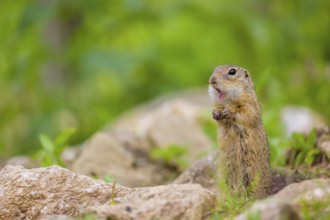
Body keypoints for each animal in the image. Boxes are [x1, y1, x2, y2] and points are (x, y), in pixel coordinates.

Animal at [209, 64, 270, 199]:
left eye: (232, 72)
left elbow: (247, 114)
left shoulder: (250, 104)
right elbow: (218, 113)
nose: (212, 80)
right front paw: (215, 113)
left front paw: (229, 113)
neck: (228, 102)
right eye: (215, 69)